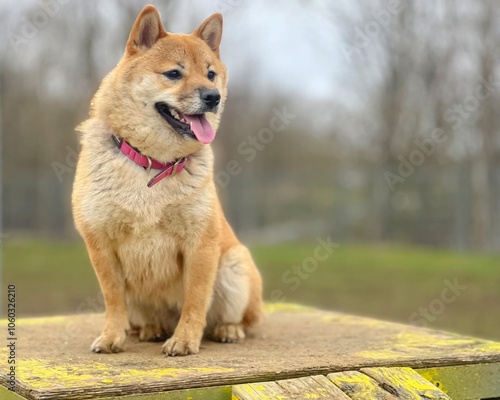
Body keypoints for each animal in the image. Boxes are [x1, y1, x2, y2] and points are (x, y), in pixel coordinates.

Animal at [73, 5, 266, 356]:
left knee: (240, 319)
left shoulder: (199, 243)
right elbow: (113, 299)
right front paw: (111, 337)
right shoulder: (101, 244)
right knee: (142, 318)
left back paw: (228, 329)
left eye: (211, 74)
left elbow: (195, 299)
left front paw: (185, 339)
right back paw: (151, 329)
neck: (152, 163)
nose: (213, 97)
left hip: (234, 266)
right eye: (174, 73)